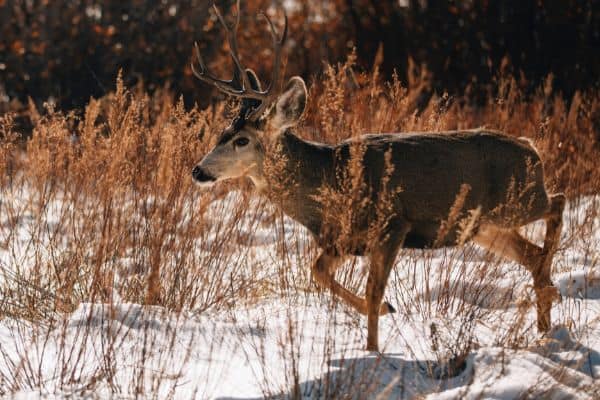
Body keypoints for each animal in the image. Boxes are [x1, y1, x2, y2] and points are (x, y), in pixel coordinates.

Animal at [193, 0, 568, 350]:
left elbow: (373, 292)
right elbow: (318, 272)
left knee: (559, 202)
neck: (330, 180)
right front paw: (386, 315)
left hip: (517, 201)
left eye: (242, 140)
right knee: (532, 252)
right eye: (222, 132)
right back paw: (545, 319)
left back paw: (549, 291)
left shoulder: (392, 225)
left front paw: (373, 348)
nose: (198, 170)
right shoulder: (343, 240)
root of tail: (531, 147)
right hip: (481, 225)